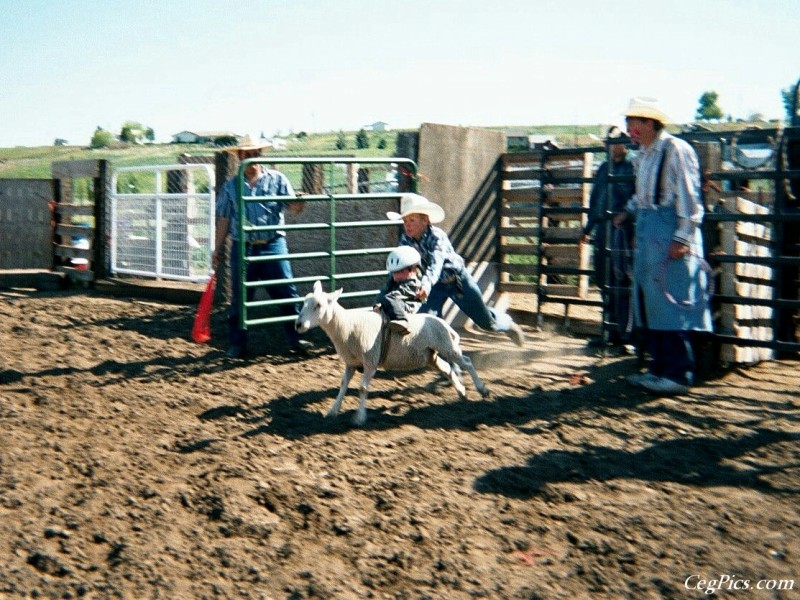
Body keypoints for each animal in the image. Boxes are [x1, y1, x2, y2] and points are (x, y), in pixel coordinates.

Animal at [294, 280, 488, 424]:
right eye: (304, 301)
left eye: (318, 305)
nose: (298, 324)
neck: (347, 326)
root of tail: (444, 323)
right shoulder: (351, 363)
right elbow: (343, 386)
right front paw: (332, 411)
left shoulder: (370, 361)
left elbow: (363, 388)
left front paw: (359, 418)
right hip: (429, 355)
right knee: (447, 369)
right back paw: (461, 391)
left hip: (447, 346)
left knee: (467, 362)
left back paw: (482, 389)